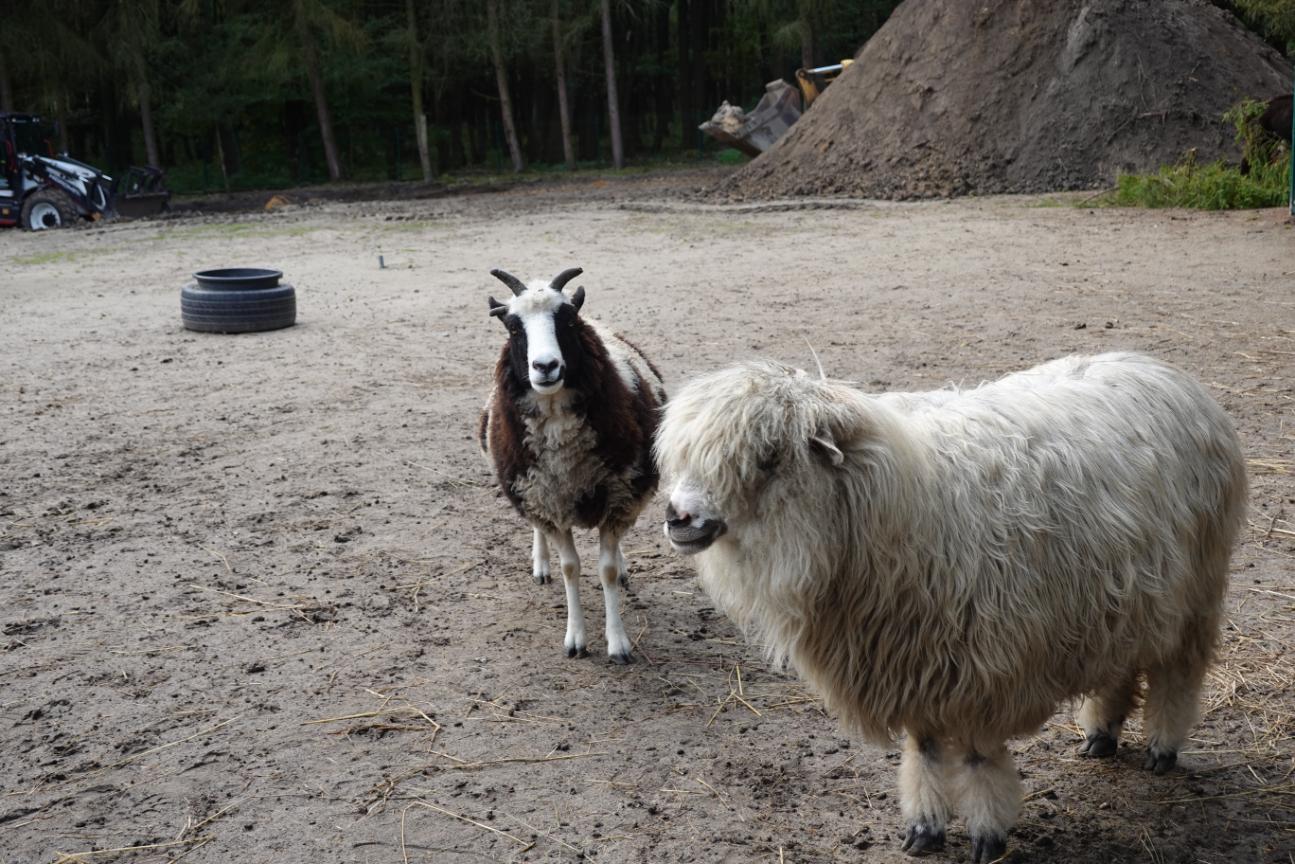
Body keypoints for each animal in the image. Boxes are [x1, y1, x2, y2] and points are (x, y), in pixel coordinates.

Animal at [657, 354, 1243, 860]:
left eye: (768, 458)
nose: (677, 517)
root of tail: (1159, 369)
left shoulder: (985, 670)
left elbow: (981, 760)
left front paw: (986, 834)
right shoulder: (919, 667)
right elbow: (927, 752)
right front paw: (925, 827)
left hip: (1197, 589)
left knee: (1178, 674)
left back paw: (1162, 748)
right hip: (1123, 598)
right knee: (1120, 668)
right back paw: (1100, 734)